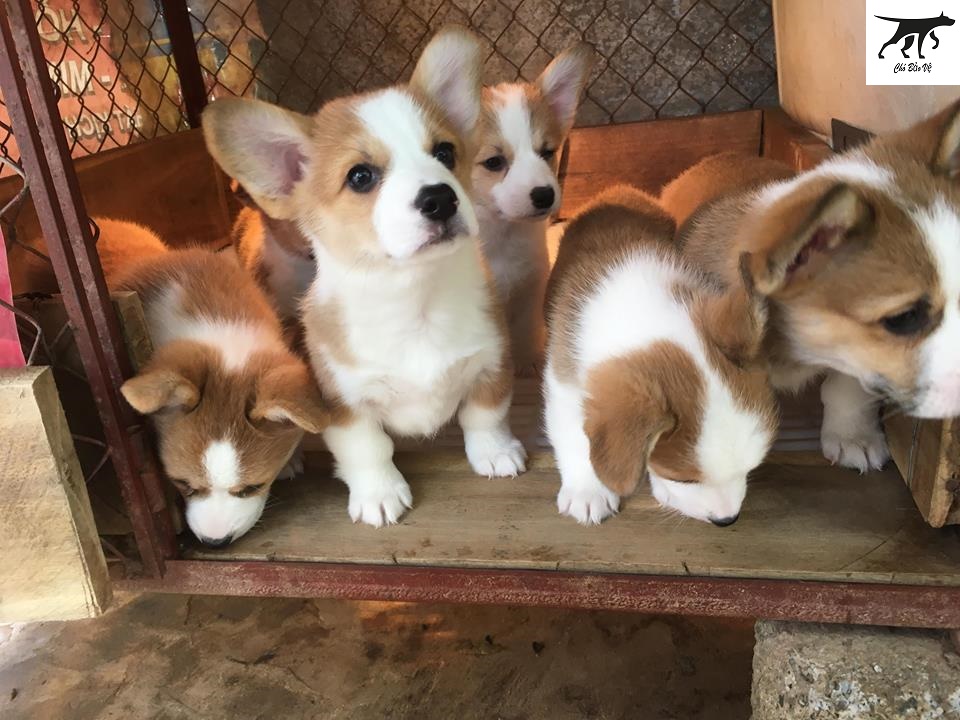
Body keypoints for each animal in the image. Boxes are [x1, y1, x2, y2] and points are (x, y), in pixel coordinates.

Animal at [202, 26, 527, 527]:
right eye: (360, 176)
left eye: (445, 152)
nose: (440, 199)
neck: (416, 301)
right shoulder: (343, 404)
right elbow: (368, 449)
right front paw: (379, 494)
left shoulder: (491, 361)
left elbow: (485, 415)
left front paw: (495, 453)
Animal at [472, 44, 592, 371]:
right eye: (494, 162)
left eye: (547, 152)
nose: (544, 195)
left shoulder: (531, 289)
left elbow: (526, 338)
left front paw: (530, 365)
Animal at [544, 186, 777, 525]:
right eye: (684, 479)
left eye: (751, 467)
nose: (727, 520)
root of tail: (621, 191)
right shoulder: (563, 378)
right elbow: (572, 434)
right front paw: (587, 491)